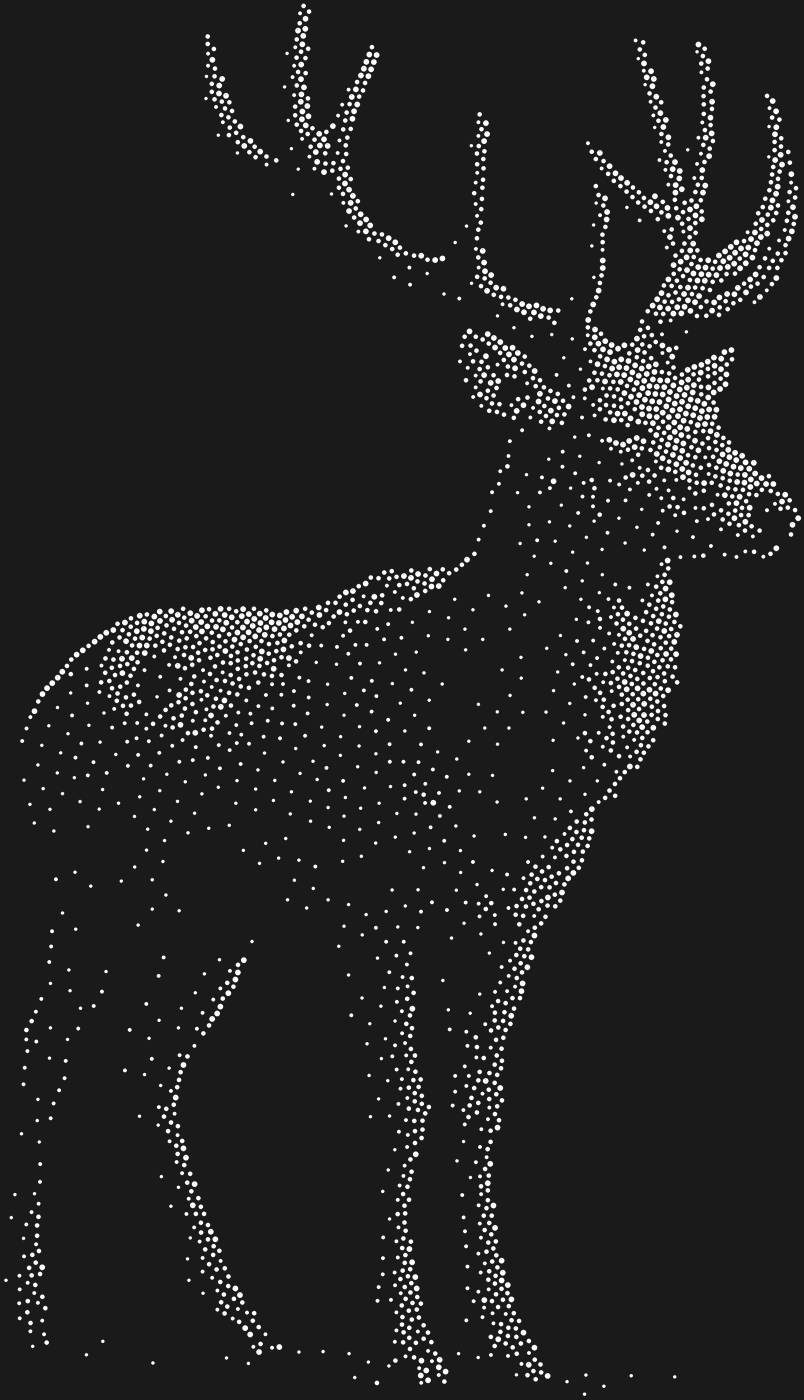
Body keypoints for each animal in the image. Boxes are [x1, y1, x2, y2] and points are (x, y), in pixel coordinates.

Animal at [15, 4, 798, 1389]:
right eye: (608, 428)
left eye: (705, 405)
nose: (776, 504)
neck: (502, 769)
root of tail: (61, 680)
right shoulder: (365, 896)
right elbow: (397, 1110)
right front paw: (406, 1342)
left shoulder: (517, 913)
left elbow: (480, 1114)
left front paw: (517, 1339)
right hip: (81, 869)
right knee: (48, 1058)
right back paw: (45, 1315)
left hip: (203, 909)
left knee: (146, 1069)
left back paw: (243, 1321)